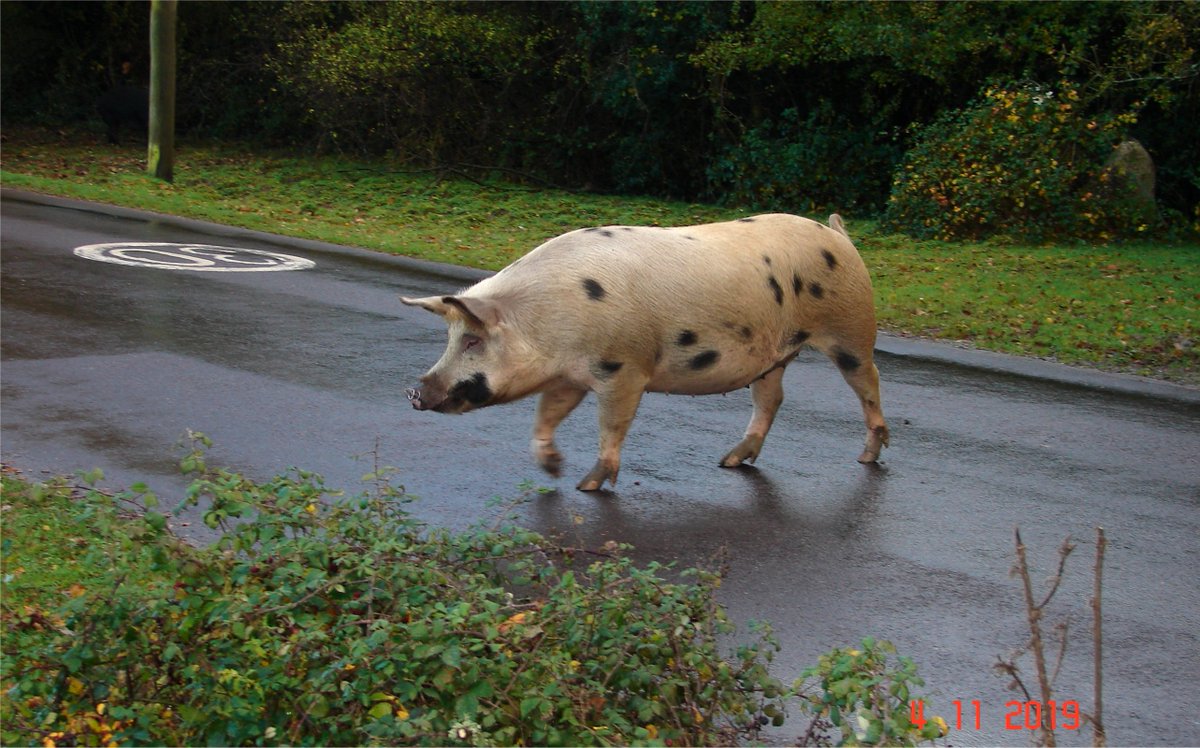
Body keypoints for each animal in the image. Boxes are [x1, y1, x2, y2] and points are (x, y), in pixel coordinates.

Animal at [402, 213, 888, 491]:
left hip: (851, 329)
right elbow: (545, 418)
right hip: (773, 357)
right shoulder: (568, 376)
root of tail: (839, 236)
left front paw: (587, 486)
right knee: (772, 399)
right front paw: (553, 469)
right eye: (451, 337)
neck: (548, 320)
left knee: (870, 382)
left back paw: (867, 457)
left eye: (473, 340)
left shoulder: (624, 369)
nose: (417, 391)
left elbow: (611, 424)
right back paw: (729, 462)